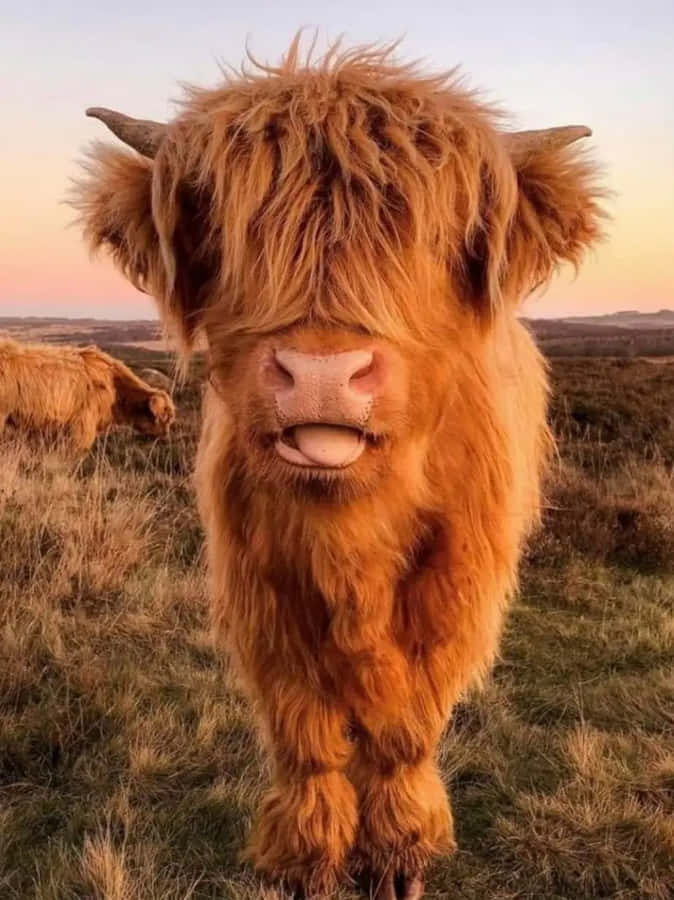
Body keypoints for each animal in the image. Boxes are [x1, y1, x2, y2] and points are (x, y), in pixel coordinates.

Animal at [76, 39, 604, 898]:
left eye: (435, 239)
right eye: (229, 232)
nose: (322, 374)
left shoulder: (454, 595)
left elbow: (403, 734)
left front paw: (399, 858)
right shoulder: (263, 593)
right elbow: (310, 739)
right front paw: (312, 861)